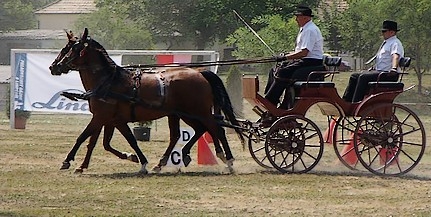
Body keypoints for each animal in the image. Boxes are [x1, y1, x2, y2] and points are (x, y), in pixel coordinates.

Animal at [49, 28, 245, 174]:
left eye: (73, 49)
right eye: (66, 48)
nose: (54, 67)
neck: (108, 81)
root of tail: (200, 73)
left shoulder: (101, 117)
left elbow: (84, 137)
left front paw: (68, 161)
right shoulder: (110, 119)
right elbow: (102, 142)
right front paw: (134, 159)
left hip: (199, 111)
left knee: (216, 129)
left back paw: (228, 160)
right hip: (182, 114)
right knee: (189, 132)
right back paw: (169, 160)